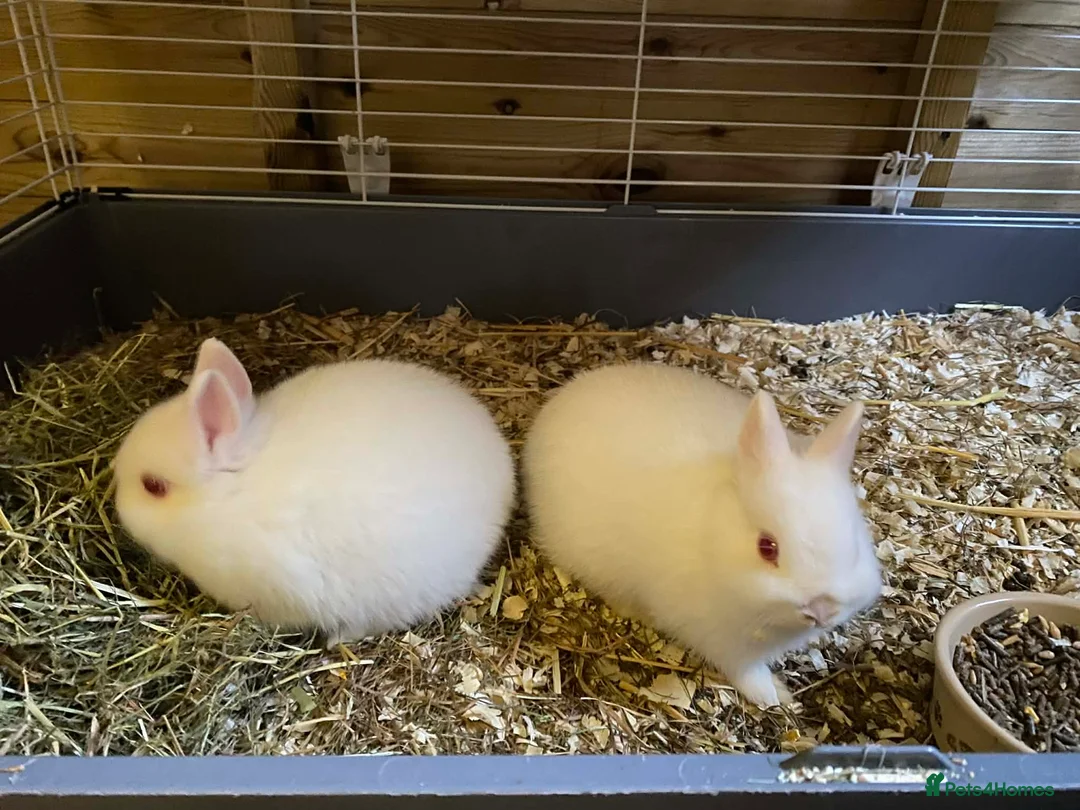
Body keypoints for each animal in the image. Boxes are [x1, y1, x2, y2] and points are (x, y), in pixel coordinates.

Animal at [522, 362, 882, 707]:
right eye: (767, 547)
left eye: (855, 545)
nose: (821, 610)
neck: (712, 537)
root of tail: (558, 403)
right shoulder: (721, 641)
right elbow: (747, 672)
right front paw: (775, 697)